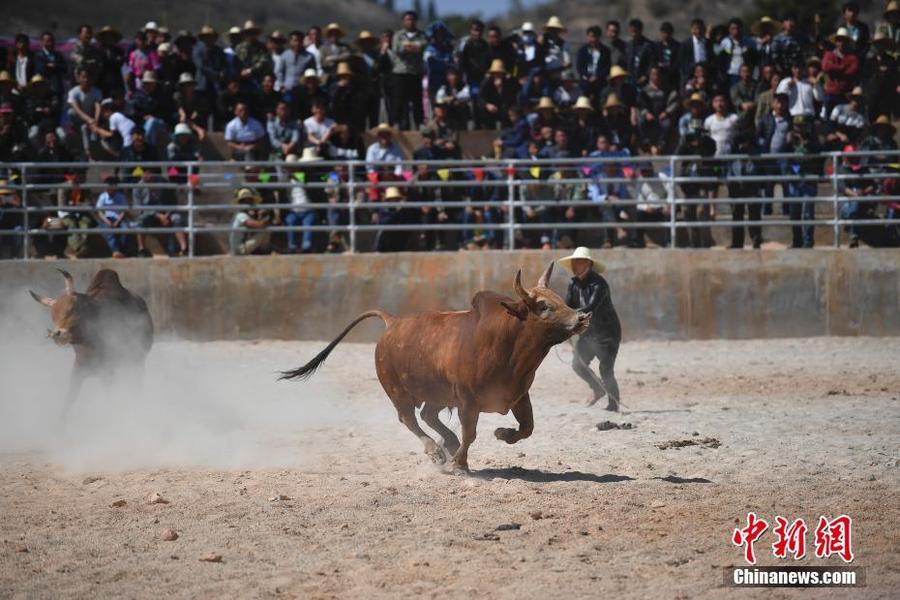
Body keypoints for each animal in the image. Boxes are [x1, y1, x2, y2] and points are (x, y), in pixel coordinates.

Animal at [29, 268, 155, 418]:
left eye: (73, 309)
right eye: (53, 315)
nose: (57, 334)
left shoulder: (108, 371)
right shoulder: (79, 367)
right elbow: (69, 400)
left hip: (137, 362)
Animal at [282, 262, 592, 474]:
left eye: (559, 299)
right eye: (543, 306)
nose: (582, 317)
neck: (505, 345)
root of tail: (393, 322)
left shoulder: (518, 395)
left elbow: (527, 427)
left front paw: (502, 434)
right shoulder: (468, 401)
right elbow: (470, 433)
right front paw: (460, 465)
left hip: (436, 393)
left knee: (428, 415)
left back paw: (448, 443)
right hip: (398, 392)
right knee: (410, 419)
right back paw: (435, 450)